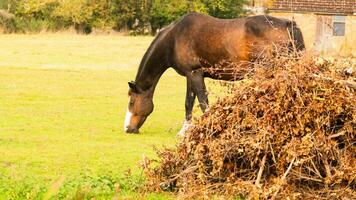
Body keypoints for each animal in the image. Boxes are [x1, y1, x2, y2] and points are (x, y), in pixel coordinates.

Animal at [124, 12, 304, 134]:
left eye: (132, 102)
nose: (127, 128)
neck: (174, 38)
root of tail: (288, 24)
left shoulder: (195, 73)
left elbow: (202, 103)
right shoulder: (191, 75)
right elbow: (189, 102)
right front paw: (186, 130)